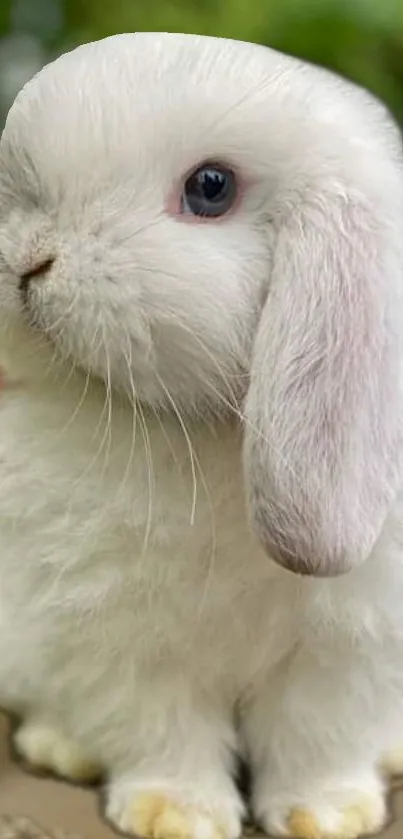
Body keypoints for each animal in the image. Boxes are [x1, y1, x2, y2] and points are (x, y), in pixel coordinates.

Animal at [0, 29, 403, 839]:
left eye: (210, 188)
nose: (27, 256)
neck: (209, 438)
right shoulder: (119, 639)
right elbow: (158, 728)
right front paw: (174, 813)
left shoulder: (350, 649)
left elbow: (319, 735)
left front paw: (326, 814)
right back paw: (62, 747)